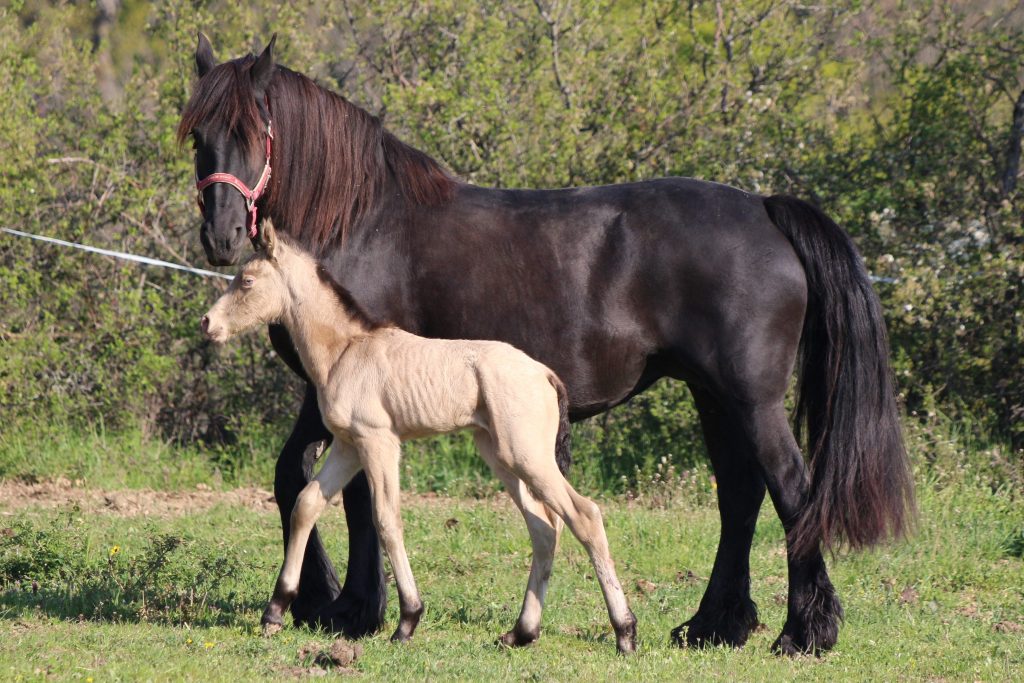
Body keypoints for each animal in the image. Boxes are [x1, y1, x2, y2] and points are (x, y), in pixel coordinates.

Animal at [200, 222, 634, 655]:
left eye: (246, 280)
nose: (207, 323)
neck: (345, 350)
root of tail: (546, 374)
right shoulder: (348, 446)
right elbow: (306, 505)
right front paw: (274, 613)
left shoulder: (378, 442)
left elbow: (386, 518)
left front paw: (407, 621)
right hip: (500, 456)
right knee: (543, 528)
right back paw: (521, 632)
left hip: (526, 456)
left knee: (584, 515)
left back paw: (625, 632)